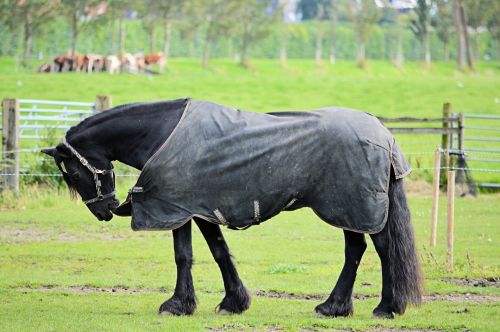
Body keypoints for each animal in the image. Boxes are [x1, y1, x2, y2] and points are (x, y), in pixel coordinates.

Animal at [43, 99, 422, 320]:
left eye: (73, 173)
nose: (104, 210)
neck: (162, 134)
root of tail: (383, 134)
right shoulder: (196, 208)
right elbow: (216, 251)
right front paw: (232, 301)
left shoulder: (177, 207)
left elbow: (185, 255)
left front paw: (177, 305)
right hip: (349, 209)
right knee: (358, 250)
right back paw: (338, 307)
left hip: (354, 207)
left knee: (379, 249)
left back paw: (383, 307)